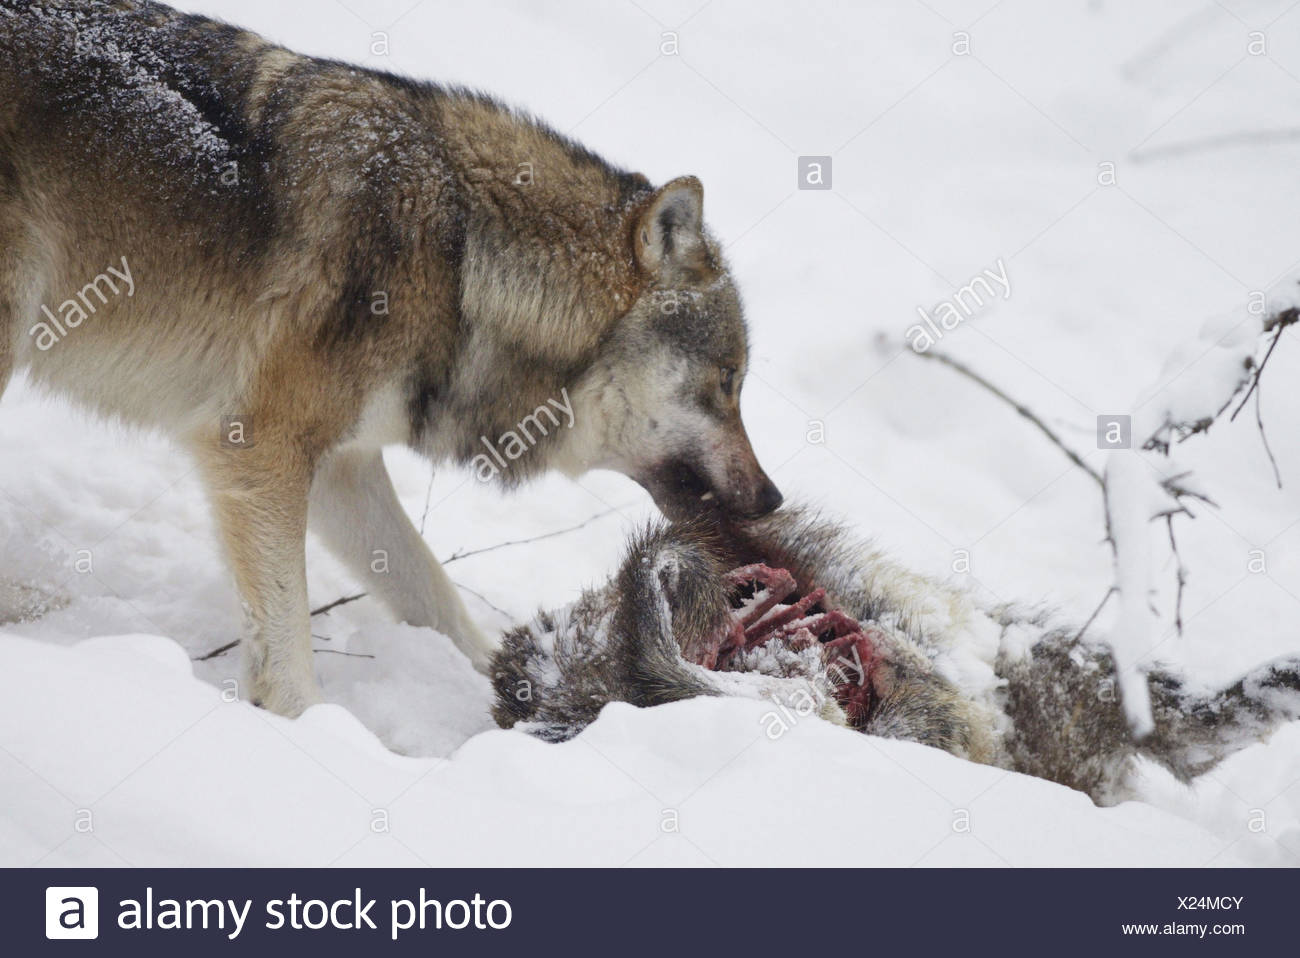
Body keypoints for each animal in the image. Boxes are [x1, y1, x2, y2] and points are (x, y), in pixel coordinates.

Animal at [0, 0, 781, 716]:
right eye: (728, 383)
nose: (774, 498)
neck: (464, 262)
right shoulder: (262, 446)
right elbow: (287, 642)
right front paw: (310, 730)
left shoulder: (341, 469)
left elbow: (433, 593)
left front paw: (509, 686)